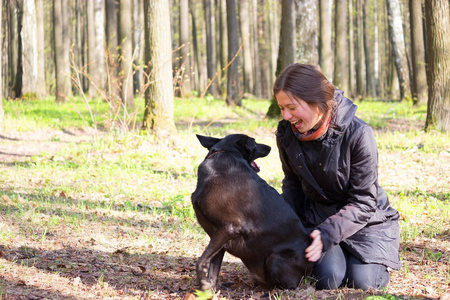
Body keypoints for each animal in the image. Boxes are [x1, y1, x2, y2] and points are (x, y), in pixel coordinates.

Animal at [191, 134, 312, 290]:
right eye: (255, 143)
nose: (270, 147)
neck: (224, 153)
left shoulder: (228, 228)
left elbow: (201, 262)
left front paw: (203, 284)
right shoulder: (217, 235)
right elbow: (213, 270)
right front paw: (207, 290)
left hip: (274, 258)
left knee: (287, 286)